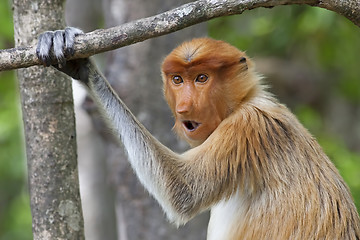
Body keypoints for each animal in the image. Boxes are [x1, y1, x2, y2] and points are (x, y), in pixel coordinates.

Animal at [37, 27, 360, 239]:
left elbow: (182, 191)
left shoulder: (247, 126)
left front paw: (85, 67)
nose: (184, 107)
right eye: (178, 79)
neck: (246, 100)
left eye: (202, 78)